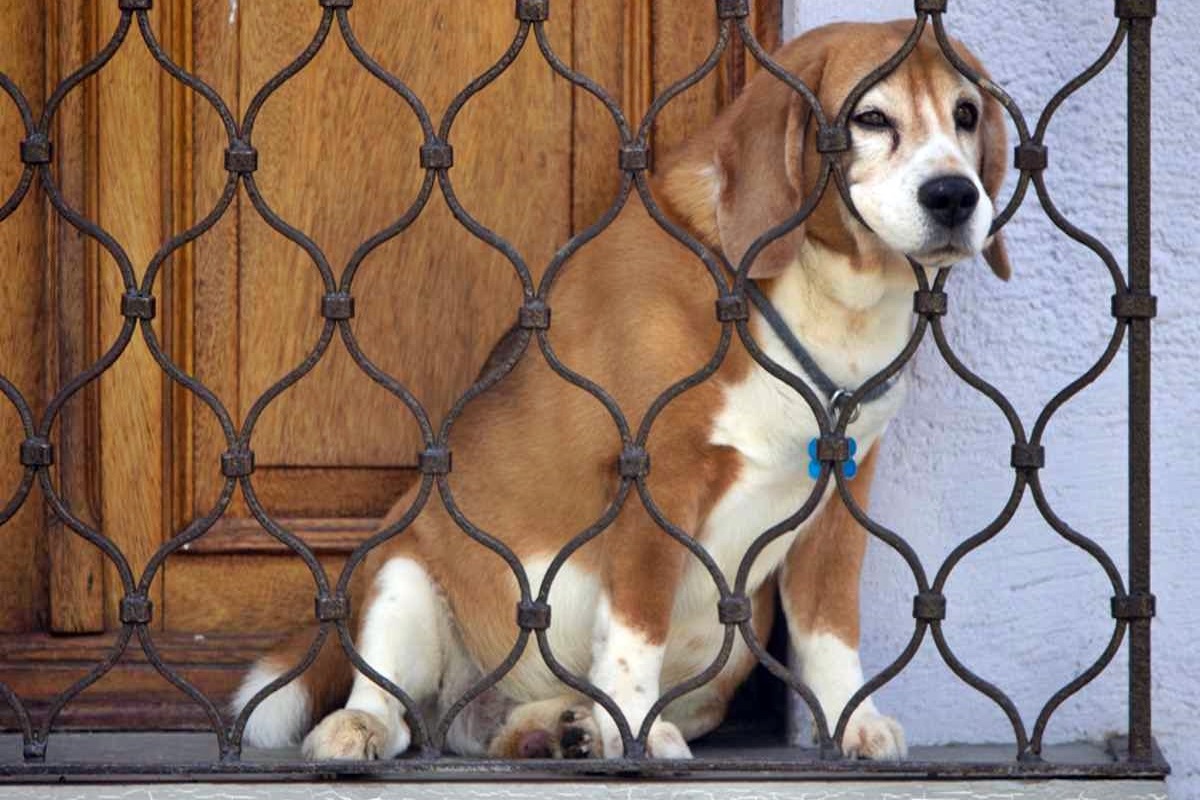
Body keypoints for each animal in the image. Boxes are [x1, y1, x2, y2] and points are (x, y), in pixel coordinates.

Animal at [236, 20, 1012, 762]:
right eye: (872, 118)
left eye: (966, 114)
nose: (954, 195)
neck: (820, 299)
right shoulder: (654, 480)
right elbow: (638, 628)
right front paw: (636, 730)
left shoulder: (843, 494)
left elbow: (831, 628)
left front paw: (853, 720)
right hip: (404, 573)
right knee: (395, 709)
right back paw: (365, 728)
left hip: (730, 652)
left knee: (479, 728)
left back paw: (556, 730)